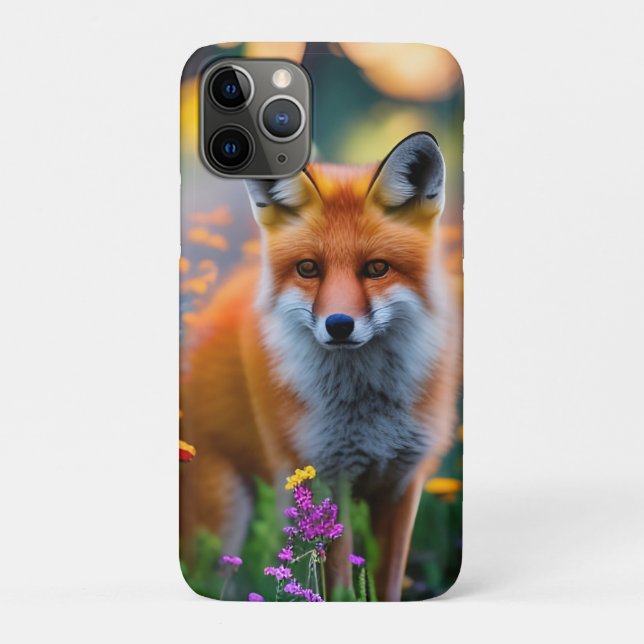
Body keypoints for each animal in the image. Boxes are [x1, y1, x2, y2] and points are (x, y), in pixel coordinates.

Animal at [180, 132, 461, 601]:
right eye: (308, 268)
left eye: (377, 268)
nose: (339, 325)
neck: (367, 412)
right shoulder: (325, 478)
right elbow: (341, 587)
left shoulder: (402, 485)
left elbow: (385, 586)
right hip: (222, 517)